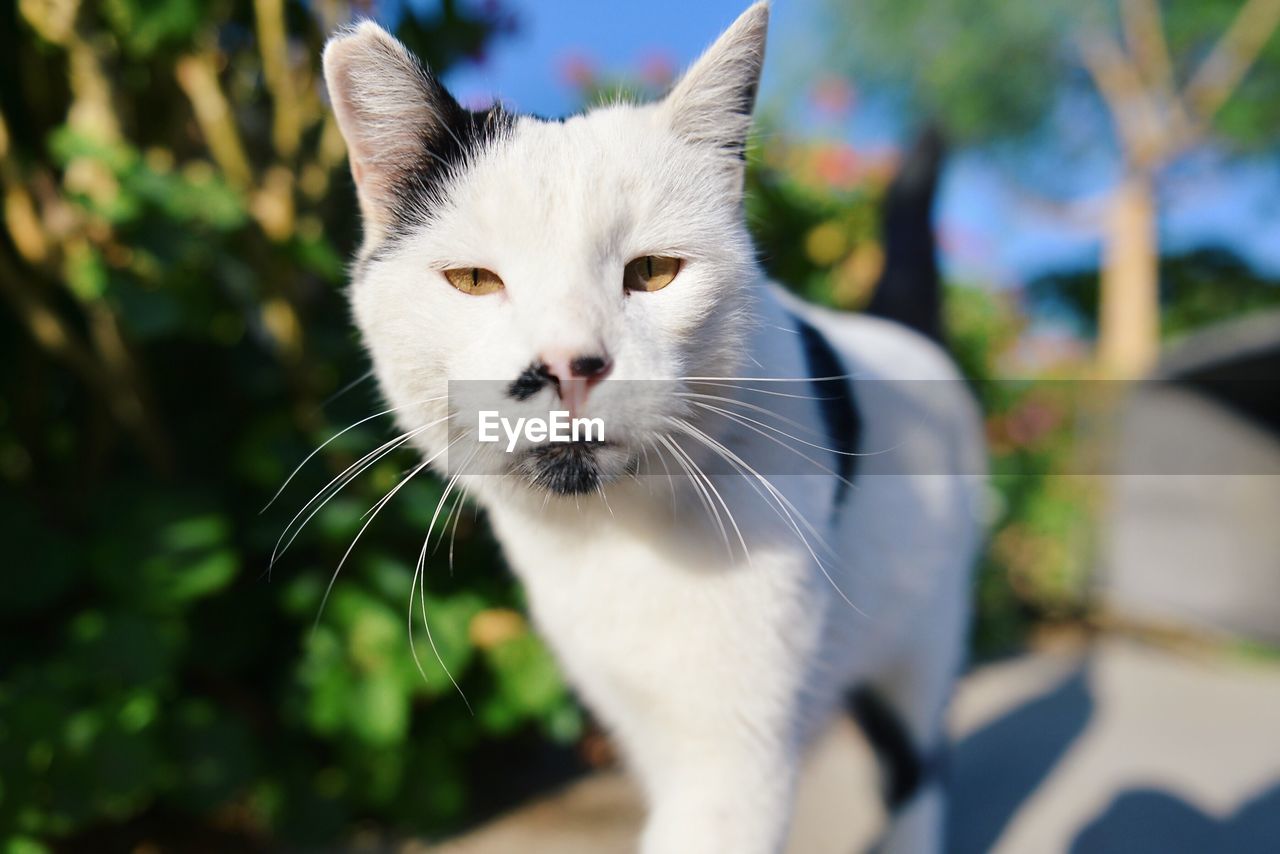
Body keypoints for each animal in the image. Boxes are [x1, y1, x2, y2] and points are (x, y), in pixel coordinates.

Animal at [325, 3, 983, 850]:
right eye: (473, 280)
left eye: (654, 272)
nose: (568, 363)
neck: (613, 538)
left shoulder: (733, 757)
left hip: (923, 642)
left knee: (917, 768)